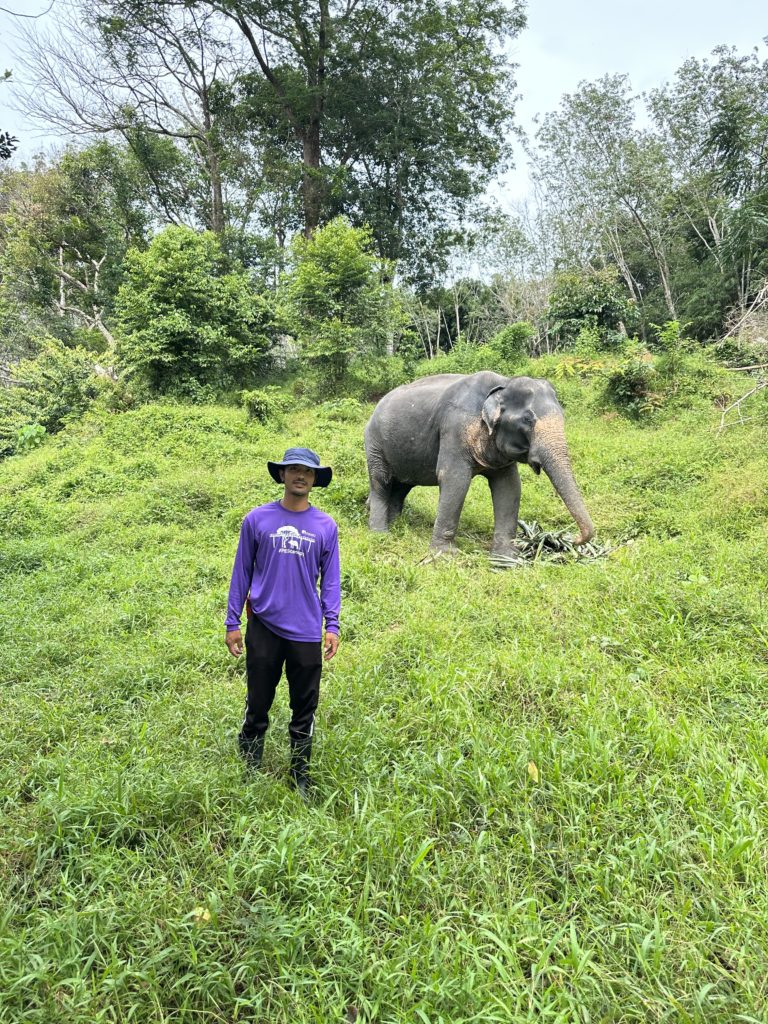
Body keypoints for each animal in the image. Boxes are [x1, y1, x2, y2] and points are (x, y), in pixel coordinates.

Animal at [364, 370, 593, 557]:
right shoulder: (454, 427)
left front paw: (506, 558)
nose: (573, 540)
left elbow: (509, 486)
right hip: (374, 445)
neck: (503, 383)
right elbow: (455, 479)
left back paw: (397, 524)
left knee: (402, 486)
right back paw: (381, 534)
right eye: (528, 420)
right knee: (381, 482)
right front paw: (444, 556)